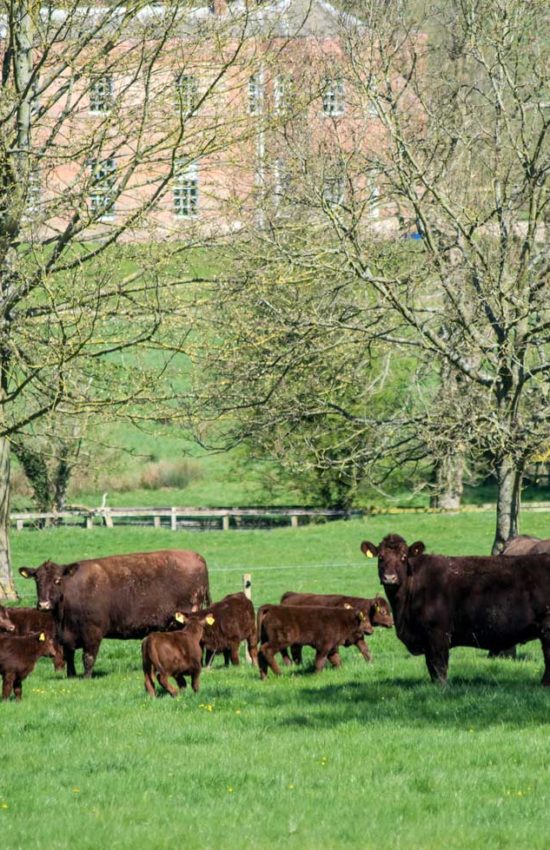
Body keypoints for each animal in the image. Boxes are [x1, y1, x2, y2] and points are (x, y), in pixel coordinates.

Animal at [18, 548, 209, 680]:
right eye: (37, 580)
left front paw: (86, 678)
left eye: (57, 580)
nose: (43, 604)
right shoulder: (66, 636)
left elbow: (88, 658)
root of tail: (195, 555)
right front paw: (71, 676)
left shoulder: (93, 633)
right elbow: (69, 656)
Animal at [362, 532, 550, 684]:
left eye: (403, 557)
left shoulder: (438, 634)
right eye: (380, 557)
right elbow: (431, 667)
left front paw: (441, 688)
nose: (389, 578)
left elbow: (439, 666)